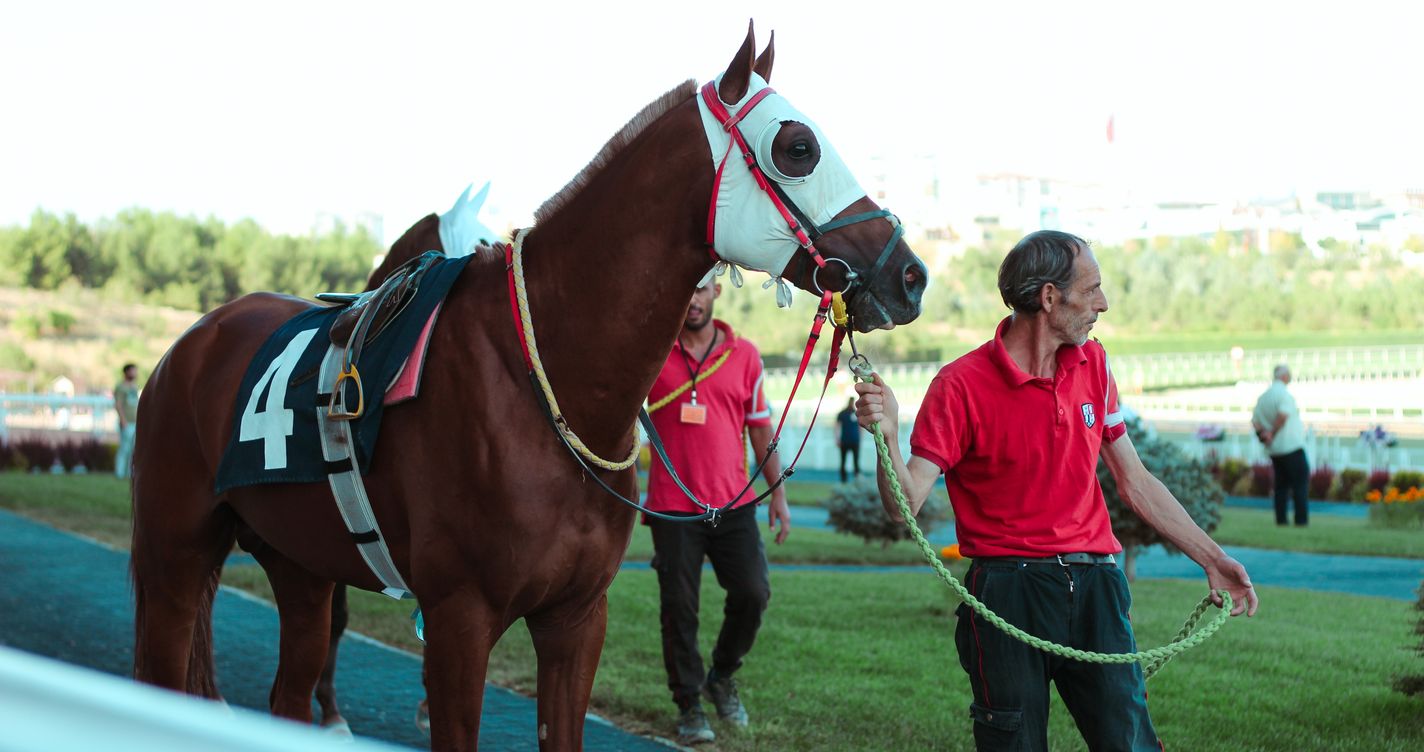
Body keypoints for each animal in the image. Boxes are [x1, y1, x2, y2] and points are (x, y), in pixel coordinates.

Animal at [130, 23, 927, 751]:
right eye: (798, 147)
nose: (910, 274)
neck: (547, 382)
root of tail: (195, 340)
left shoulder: (576, 618)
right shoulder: (458, 618)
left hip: (298, 566)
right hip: (174, 554)